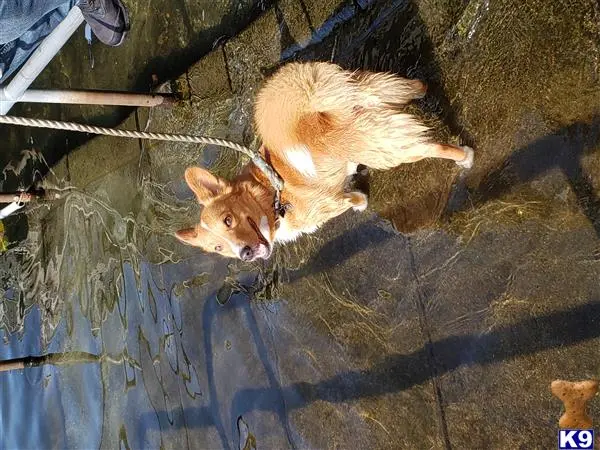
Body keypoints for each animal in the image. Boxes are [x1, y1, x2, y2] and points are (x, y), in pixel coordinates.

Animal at [175, 61, 474, 262]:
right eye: (218, 248)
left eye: (228, 220)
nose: (245, 254)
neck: (271, 194)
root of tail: (317, 113)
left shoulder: (331, 204)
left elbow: (353, 200)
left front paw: (360, 203)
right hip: (375, 91)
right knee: (413, 88)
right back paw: (423, 91)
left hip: (386, 149)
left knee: (435, 147)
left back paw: (466, 157)